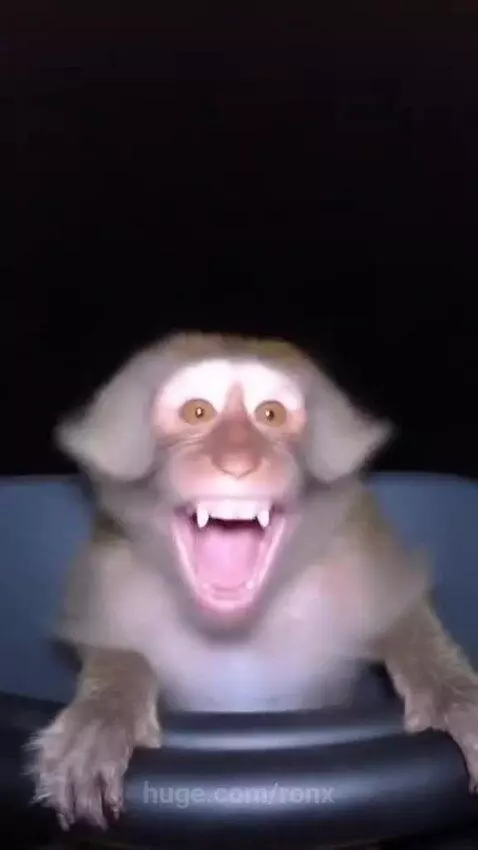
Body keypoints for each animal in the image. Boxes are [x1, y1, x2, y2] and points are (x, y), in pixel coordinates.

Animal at [26, 331, 478, 830]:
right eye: (197, 412)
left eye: (271, 415)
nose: (238, 459)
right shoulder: (113, 570)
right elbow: (107, 645)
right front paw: (105, 709)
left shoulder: (354, 553)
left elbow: (404, 616)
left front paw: (452, 691)